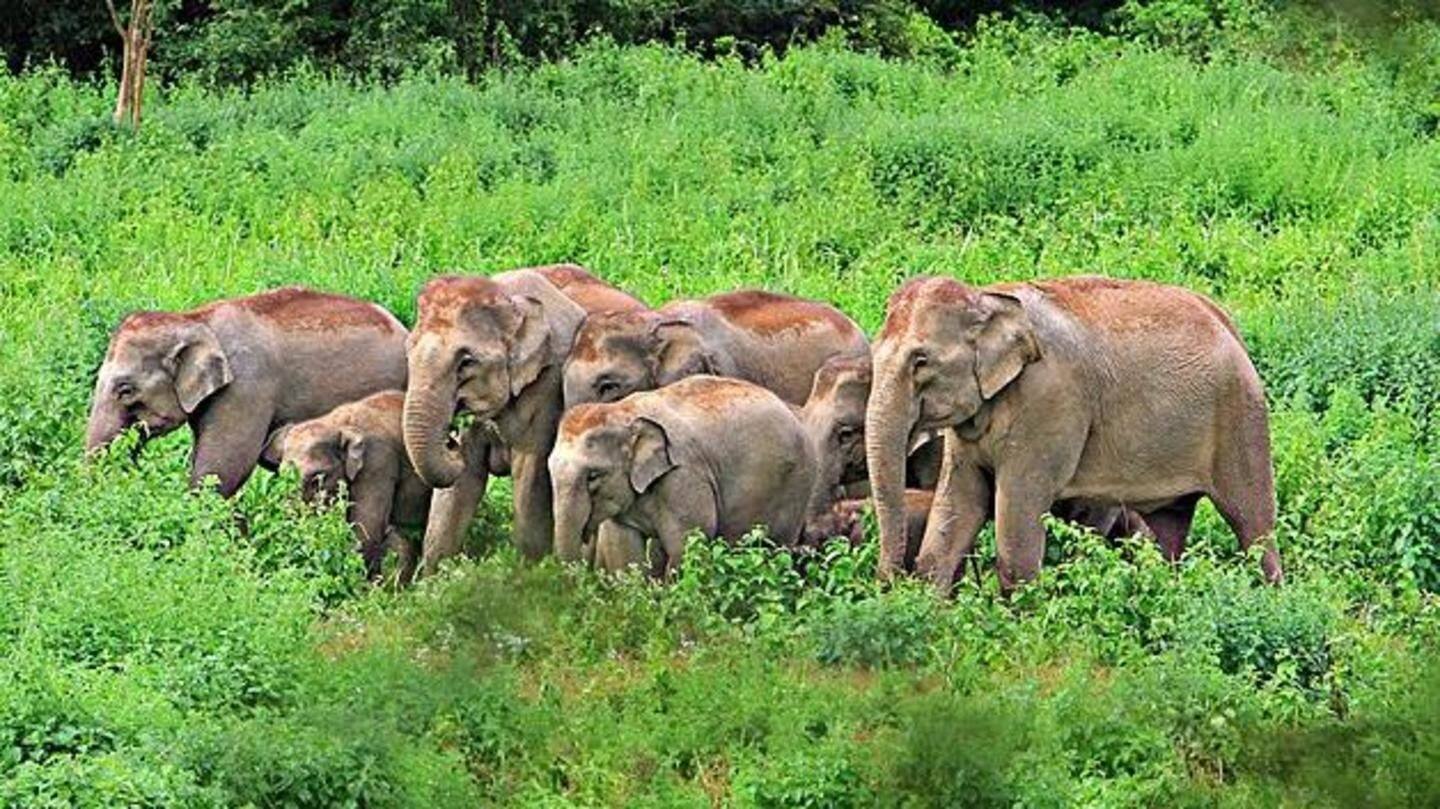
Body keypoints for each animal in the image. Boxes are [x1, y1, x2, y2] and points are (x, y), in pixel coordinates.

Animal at [402, 264, 644, 573]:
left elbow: (530, 475)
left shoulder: (547, 386)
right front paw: (434, 580)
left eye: (466, 361)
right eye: (408, 351)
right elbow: (460, 485)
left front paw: (529, 574)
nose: (451, 440)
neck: (507, 298)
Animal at [549, 375, 819, 576]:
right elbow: (626, 552)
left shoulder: (684, 478)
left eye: (593, 475)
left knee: (772, 547)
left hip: (796, 486)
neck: (623, 411)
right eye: (549, 470)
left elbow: (687, 544)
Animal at [865, 275, 1283, 592]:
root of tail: (1227, 323)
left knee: (1253, 521)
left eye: (921, 361)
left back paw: (1270, 597)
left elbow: (1018, 508)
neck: (986, 295)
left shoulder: (1049, 402)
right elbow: (960, 502)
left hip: (1241, 415)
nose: (887, 582)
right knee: (1169, 526)